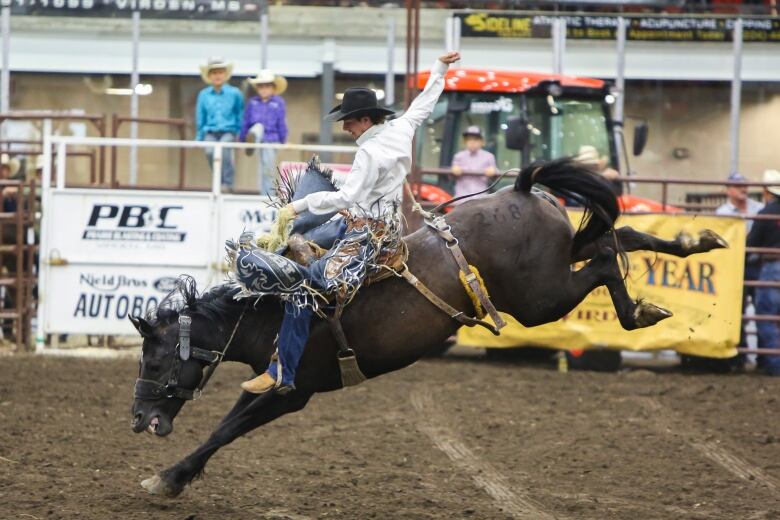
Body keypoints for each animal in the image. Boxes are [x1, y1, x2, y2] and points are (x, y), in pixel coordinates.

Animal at [131, 157, 728, 496]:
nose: (138, 419)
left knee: (605, 257)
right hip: (556, 267)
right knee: (614, 235)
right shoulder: (273, 381)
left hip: (542, 298)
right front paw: (173, 475)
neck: (275, 308)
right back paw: (694, 243)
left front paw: (167, 479)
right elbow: (227, 422)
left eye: (156, 360)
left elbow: (225, 429)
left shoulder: (292, 392)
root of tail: (521, 189)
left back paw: (639, 312)